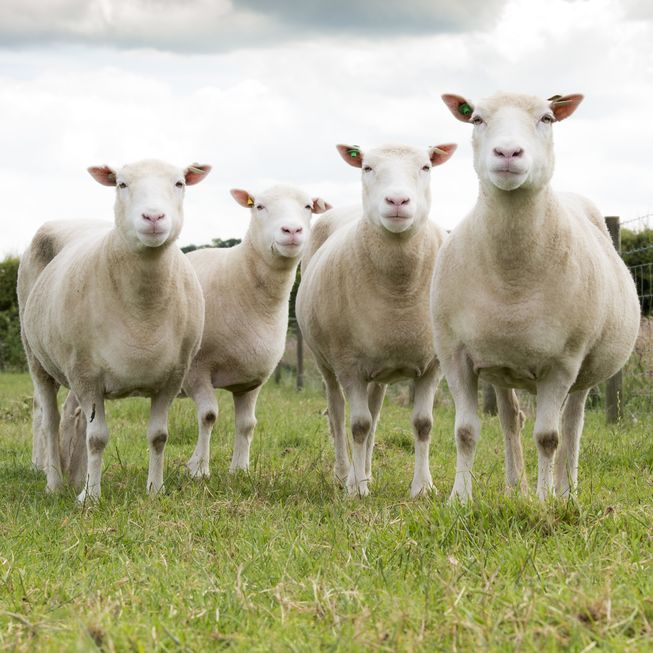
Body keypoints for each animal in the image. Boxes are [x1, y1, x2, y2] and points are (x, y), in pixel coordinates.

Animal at [17, 159, 211, 501]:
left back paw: (77, 478)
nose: (153, 217)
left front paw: (155, 490)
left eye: (179, 183)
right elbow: (97, 438)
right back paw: (55, 483)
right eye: (121, 184)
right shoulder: (86, 375)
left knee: (77, 419)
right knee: (51, 420)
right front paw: (91, 497)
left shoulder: (172, 377)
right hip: (37, 357)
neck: (143, 311)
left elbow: (159, 436)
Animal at [184, 185, 331, 478]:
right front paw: (199, 469)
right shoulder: (197, 371)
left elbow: (247, 424)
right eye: (259, 206)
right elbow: (208, 416)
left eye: (308, 206)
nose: (292, 230)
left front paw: (240, 469)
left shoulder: (251, 378)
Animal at [296, 142, 457, 497]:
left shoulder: (433, 365)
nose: (397, 201)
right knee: (338, 412)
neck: (399, 288)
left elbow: (422, 424)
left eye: (426, 166)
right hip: (326, 361)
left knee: (374, 414)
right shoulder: (349, 364)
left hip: (379, 372)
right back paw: (346, 474)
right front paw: (357, 491)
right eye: (367, 167)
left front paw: (423, 487)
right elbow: (357, 425)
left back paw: (366, 471)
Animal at [431, 92, 640, 502]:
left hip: (583, 372)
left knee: (571, 425)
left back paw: (565, 490)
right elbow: (465, 431)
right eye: (476, 119)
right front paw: (459, 498)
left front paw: (544, 501)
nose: (508, 152)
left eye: (547, 118)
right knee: (511, 418)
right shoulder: (455, 354)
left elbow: (548, 437)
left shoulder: (562, 363)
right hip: (499, 364)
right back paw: (516, 487)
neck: (512, 276)